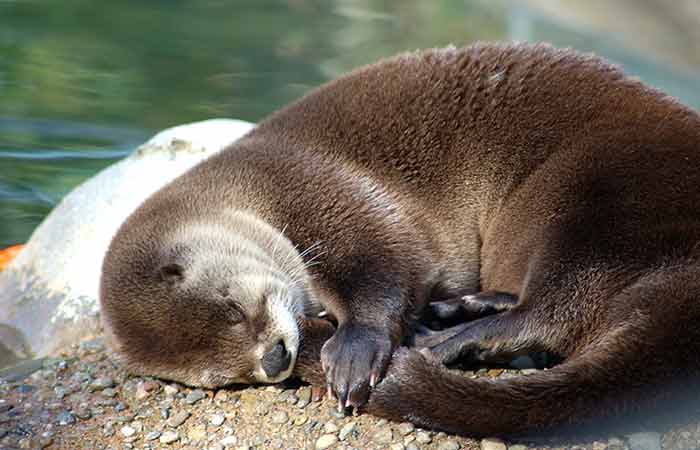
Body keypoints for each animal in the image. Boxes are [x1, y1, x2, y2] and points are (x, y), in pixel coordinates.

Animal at [100, 43, 700, 436]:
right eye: (222, 376)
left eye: (232, 306)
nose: (274, 359)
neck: (249, 192)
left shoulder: (322, 191)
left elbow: (387, 262)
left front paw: (355, 350)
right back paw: (459, 311)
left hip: (592, 194)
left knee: (555, 310)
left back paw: (443, 341)